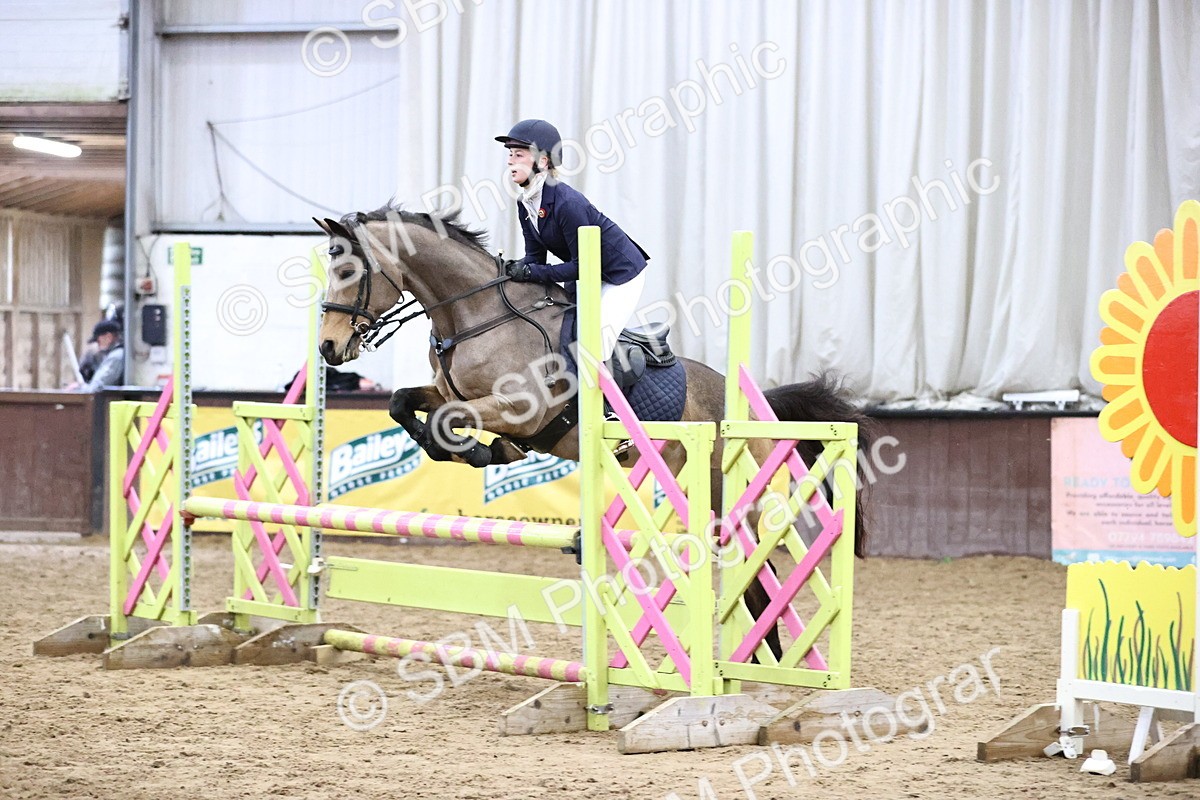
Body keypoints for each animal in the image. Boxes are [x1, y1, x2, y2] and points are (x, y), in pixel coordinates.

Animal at [313, 203, 875, 657]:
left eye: (348, 270)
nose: (328, 348)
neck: (474, 318)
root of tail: (755, 411)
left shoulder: (520, 408)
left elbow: (448, 423)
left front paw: (476, 451)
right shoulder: (449, 393)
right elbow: (402, 403)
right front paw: (467, 449)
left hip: (729, 501)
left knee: (759, 578)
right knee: (757, 584)